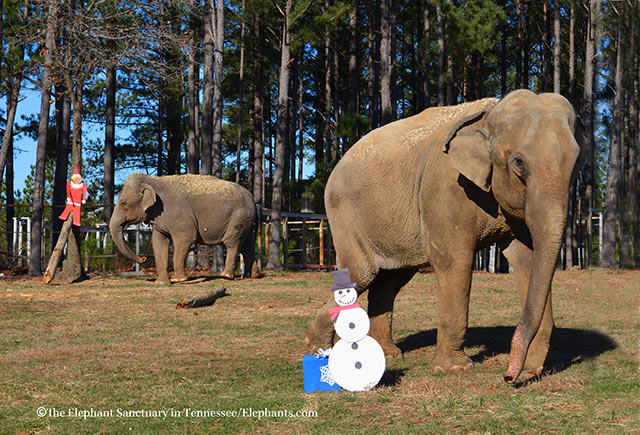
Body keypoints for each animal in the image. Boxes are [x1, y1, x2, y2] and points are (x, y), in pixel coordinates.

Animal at [110, 174, 260, 282]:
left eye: (123, 203)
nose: (143, 259)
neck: (154, 180)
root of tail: (253, 199)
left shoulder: (180, 216)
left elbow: (186, 238)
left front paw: (179, 280)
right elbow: (159, 241)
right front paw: (162, 282)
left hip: (239, 217)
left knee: (232, 243)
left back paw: (226, 276)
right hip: (247, 221)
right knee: (247, 246)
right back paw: (251, 276)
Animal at [308, 90, 584, 384]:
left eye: (577, 162)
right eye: (518, 163)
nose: (509, 376)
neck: (490, 112)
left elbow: (527, 260)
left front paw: (536, 368)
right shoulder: (447, 188)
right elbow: (455, 262)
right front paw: (454, 369)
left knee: (389, 280)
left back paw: (387, 354)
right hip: (344, 214)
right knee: (362, 274)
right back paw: (318, 348)